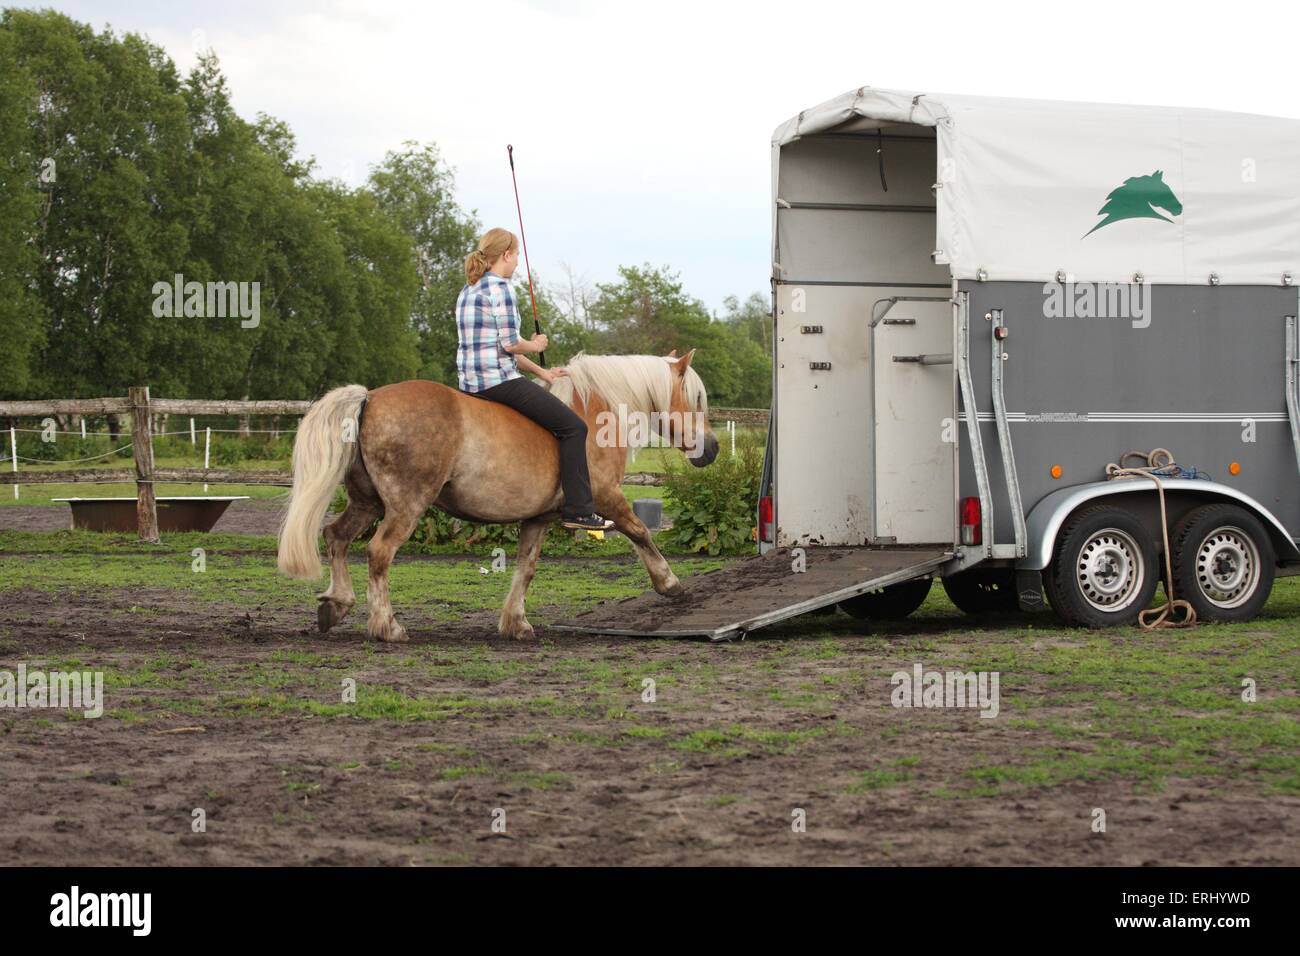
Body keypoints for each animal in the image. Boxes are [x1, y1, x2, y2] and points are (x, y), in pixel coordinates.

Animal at [276, 350, 719, 642]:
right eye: (697, 399)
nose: (712, 448)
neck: (594, 413)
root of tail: (370, 397)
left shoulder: (538, 519)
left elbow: (527, 567)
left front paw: (515, 622)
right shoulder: (607, 499)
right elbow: (641, 532)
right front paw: (669, 583)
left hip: (367, 503)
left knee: (336, 537)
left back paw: (335, 605)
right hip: (405, 506)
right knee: (379, 553)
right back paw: (387, 626)